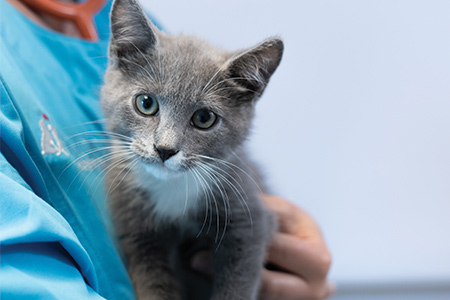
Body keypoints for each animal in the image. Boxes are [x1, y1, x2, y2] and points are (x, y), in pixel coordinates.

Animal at [102, 1, 284, 298]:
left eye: (204, 118)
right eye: (146, 103)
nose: (164, 149)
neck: (172, 189)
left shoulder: (250, 219)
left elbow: (239, 279)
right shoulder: (136, 228)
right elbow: (152, 278)